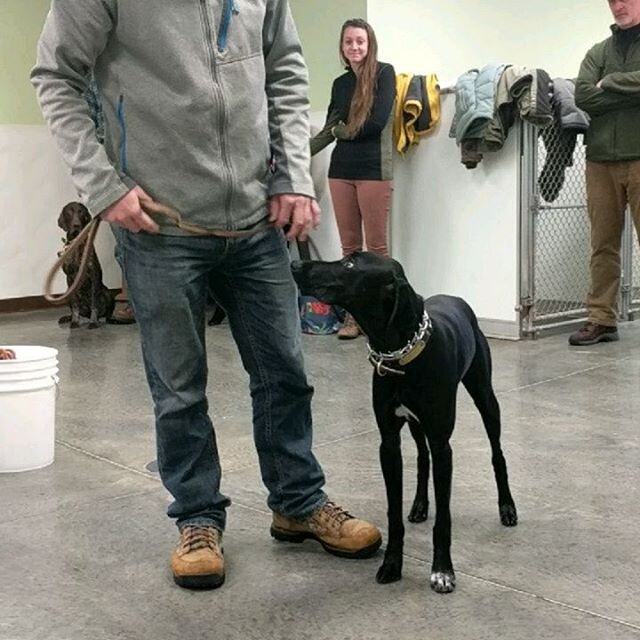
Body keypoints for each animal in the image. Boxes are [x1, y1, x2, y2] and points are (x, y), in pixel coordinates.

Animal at [56, 201, 115, 330]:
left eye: (81, 212)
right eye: (69, 212)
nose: (76, 225)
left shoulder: (93, 276)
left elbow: (94, 303)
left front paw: (93, 322)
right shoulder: (70, 278)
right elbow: (75, 305)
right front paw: (74, 321)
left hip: (107, 293)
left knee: (107, 312)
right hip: (67, 293)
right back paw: (68, 318)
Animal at [292, 252, 516, 592]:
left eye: (350, 265)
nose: (295, 265)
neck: (401, 354)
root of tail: (455, 298)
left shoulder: (442, 445)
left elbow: (444, 518)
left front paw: (442, 570)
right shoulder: (388, 443)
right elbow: (393, 513)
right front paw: (392, 564)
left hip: (485, 398)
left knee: (497, 454)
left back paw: (507, 507)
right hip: (415, 424)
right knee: (422, 459)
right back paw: (420, 505)